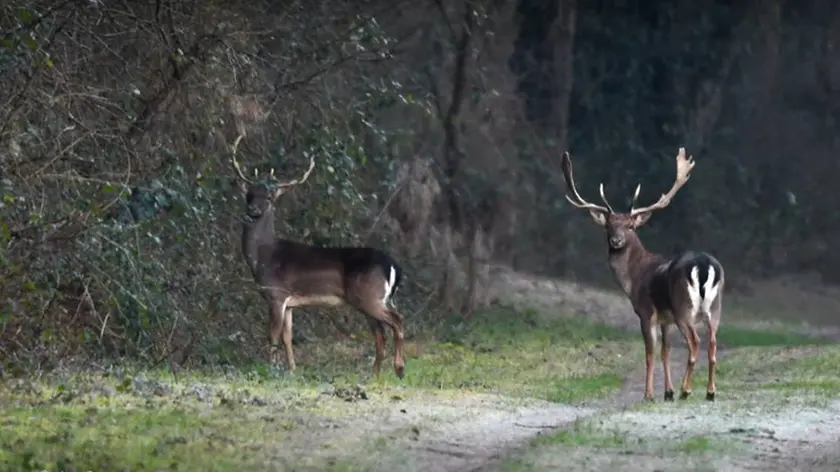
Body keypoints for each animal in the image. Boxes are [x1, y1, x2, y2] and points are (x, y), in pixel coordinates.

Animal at [230, 134, 406, 380]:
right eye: (249, 195)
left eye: (270, 197)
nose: (253, 210)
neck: (263, 257)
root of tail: (393, 266)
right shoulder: (290, 303)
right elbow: (287, 336)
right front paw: (292, 370)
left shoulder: (276, 294)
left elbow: (272, 335)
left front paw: (271, 370)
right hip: (376, 298)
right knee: (381, 333)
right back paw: (375, 375)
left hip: (368, 296)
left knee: (397, 321)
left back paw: (399, 369)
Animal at [556, 148, 720, 402]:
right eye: (609, 225)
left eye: (630, 226)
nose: (616, 241)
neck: (633, 278)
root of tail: (703, 265)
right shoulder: (665, 319)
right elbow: (665, 352)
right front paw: (667, 392)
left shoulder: (646, 312)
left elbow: (650, 354)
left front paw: (649, 394)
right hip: (715, 309)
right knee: (712, 345)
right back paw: (710, 392)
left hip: (685, 308)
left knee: (696, 344)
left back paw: (686, 390)